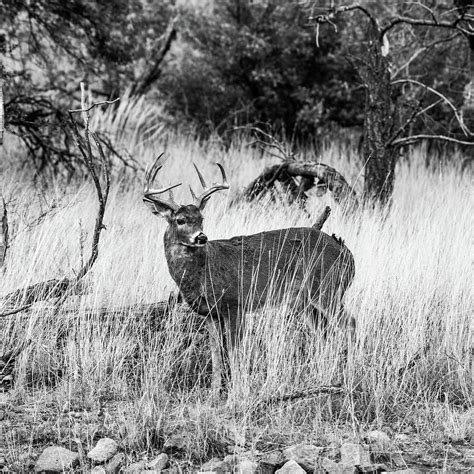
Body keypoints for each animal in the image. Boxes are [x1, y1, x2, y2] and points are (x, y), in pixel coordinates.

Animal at [143, 154, 354, 394]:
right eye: (180, 220)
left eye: (201, 218)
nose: (201, 237)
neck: (203, 272)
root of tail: (348, 255)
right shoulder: (210, 314)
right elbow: (216, 355)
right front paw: (214, 394)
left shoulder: (235, 304)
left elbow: (235, 353)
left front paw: (236, 393)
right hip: (306, 302)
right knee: (324, 333)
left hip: (328, 289)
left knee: (350, 324)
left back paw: (348, 376)